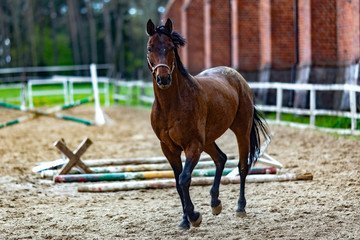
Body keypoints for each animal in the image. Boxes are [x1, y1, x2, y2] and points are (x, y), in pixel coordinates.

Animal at [146, 18, 268, 229]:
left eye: (171, 47)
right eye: (149, 48)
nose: (163, 78)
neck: (172, 105)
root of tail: (238, 77)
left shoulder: (193, 145)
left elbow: (184, 178)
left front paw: (194, 216)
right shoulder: (169, 148)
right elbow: (178, 182)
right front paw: (185, 221)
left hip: (241, 132)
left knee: (242, 167)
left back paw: (240, 207)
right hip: (209, 140)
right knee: (221, 158)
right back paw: (215, 203)